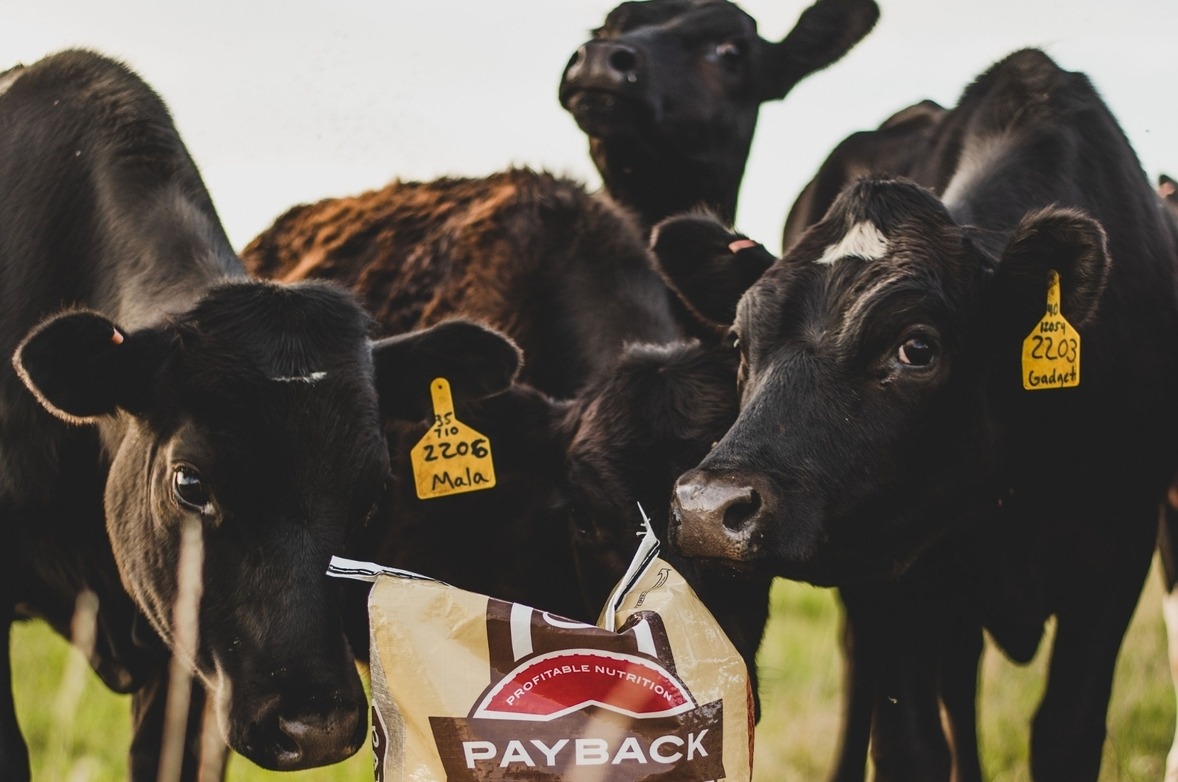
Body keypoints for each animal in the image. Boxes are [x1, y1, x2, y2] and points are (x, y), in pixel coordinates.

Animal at [653, 48, 1178, 781]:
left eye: (917, 347)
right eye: (737, 341)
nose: (707, 508)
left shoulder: (1116, 555)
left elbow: (1064, 732)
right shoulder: (888, 567)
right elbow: (909, 744)